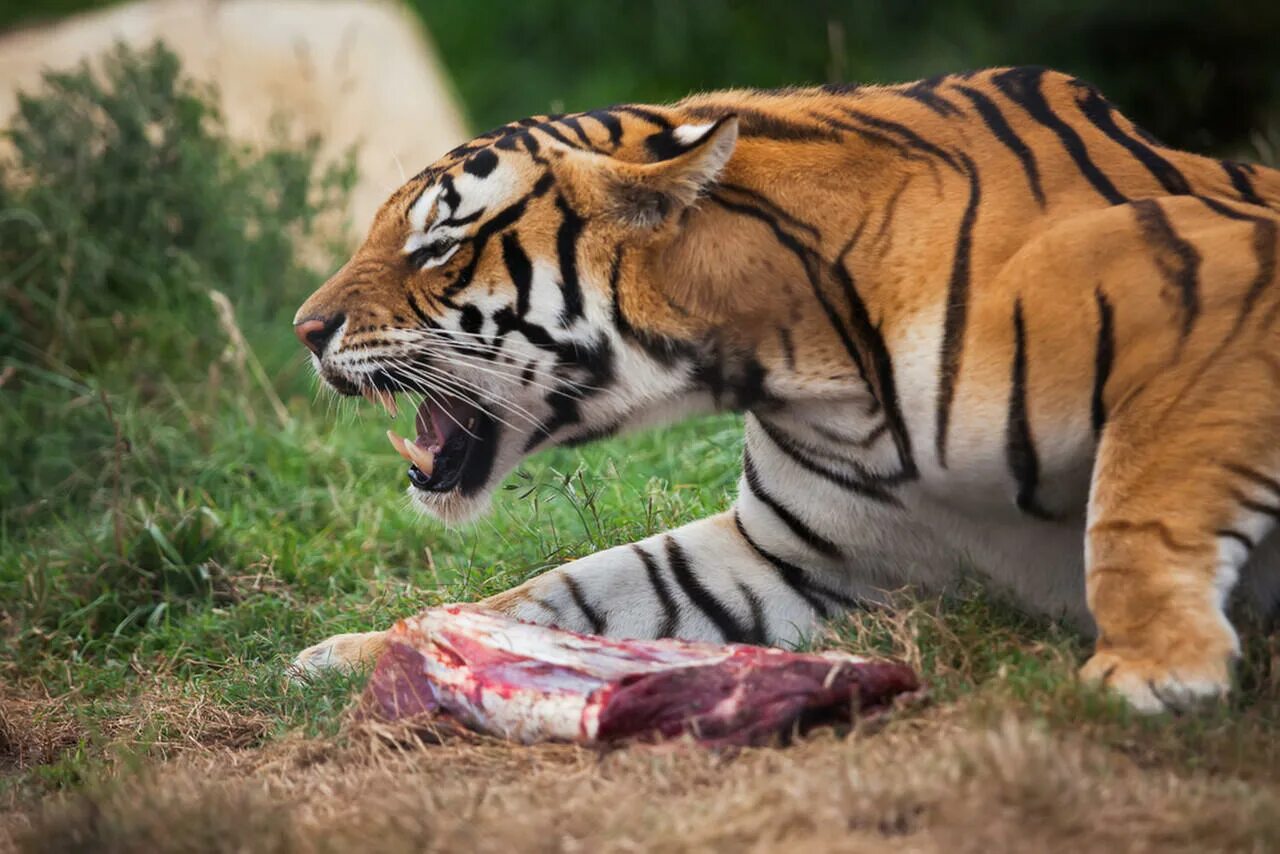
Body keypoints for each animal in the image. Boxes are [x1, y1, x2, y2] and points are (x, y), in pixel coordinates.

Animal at [290, 66, 1280, 711]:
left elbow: (1143, 502)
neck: (807, 374)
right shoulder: (791, 555)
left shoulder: (1225, 305)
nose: (304, 330)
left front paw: (1154, 667)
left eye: (439, 245)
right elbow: (567, 588)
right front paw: (366, 652)